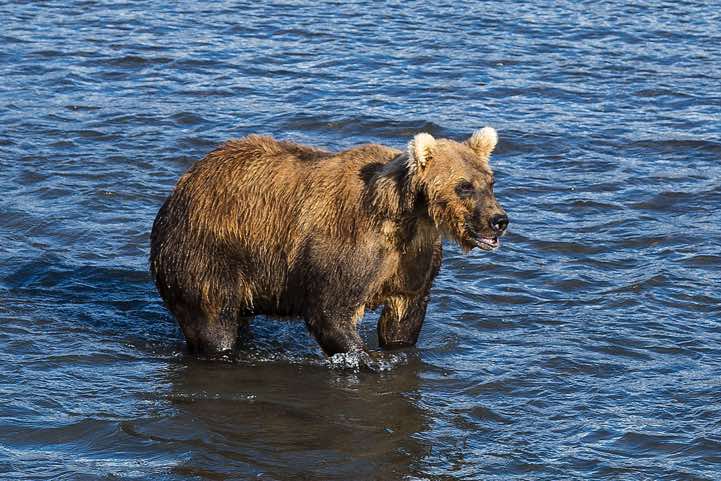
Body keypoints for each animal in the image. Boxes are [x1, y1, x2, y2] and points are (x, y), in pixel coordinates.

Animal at [149, 128, 508, 358]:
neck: (409, 219)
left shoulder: (411, 259)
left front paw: (394, 348)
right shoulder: (349, 246)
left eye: (489, 182)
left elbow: (404, 315)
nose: (499, 220)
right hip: (210, 248)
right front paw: (365, 358)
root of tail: (183, 184)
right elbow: (330, 310)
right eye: (464, 186)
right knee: (213, 320)